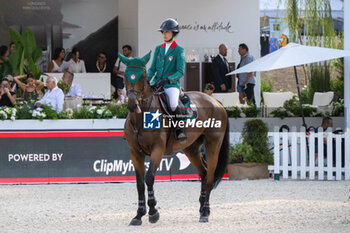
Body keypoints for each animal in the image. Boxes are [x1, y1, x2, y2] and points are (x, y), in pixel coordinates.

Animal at [119, 52, 230, 225]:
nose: (132, 104)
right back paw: (202, 208)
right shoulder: (135, 153)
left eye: (143, 77)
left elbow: (149, 178)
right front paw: (138, 215)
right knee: (204, 173)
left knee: (210, 176)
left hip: (213, 145)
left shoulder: (157, 150)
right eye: (125, 76)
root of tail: (216, 101)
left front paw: (153, 212)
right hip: (191, 149)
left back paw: (205, 212)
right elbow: (139, 184)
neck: (141, 118)